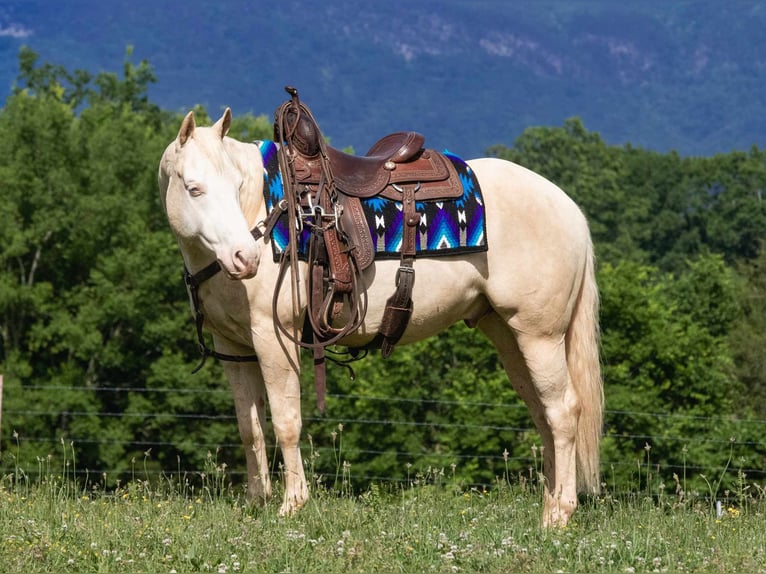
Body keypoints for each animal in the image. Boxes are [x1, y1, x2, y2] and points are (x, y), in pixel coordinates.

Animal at [159, 107, 608, 528]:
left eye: (236, 187)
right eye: (194, 189)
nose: (245, 259)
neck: (269, 212)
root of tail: (567, 206)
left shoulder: (276, 338)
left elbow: (287, 422)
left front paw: (292, 505)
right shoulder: (235, 348)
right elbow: (249, 427)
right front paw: (257, 502)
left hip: (541, 335)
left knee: (563, 411)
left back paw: (559, 513)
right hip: (510, 336)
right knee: (542, 413)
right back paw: (550, 502)